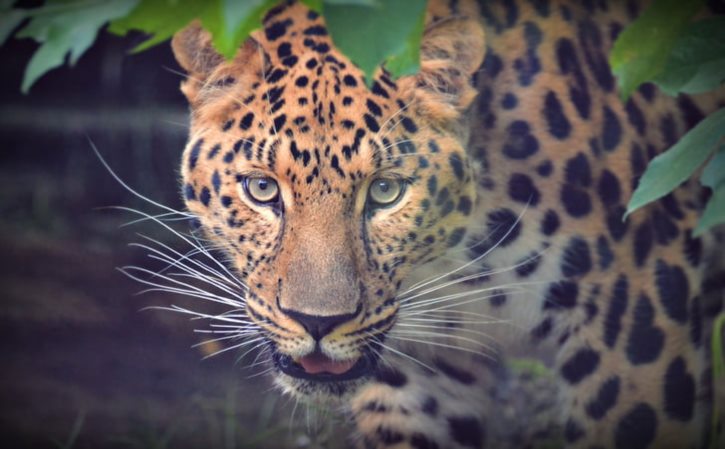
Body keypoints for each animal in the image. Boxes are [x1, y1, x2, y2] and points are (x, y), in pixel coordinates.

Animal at [167, 1, 724, 446]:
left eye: (386, 191)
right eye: (262, 189)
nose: (318, 323)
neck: (460, 262)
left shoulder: (638, 319)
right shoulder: (421, 376)